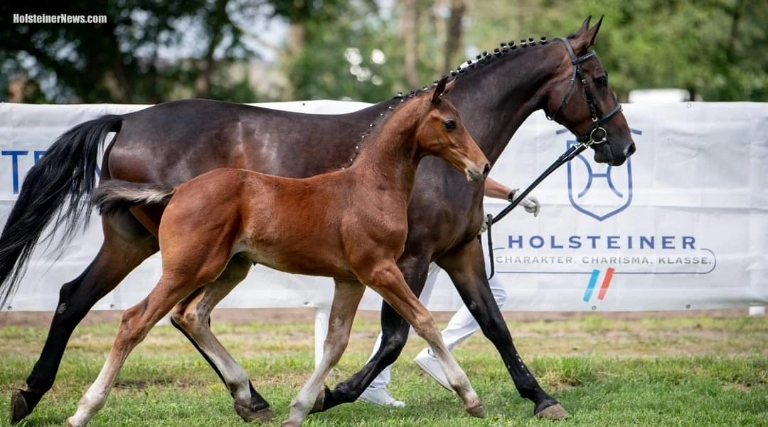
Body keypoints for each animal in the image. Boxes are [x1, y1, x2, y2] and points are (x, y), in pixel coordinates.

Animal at [73, 77, 492, 427]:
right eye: (450, 123)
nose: (482, 166)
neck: (371, 186)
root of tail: (177, 191)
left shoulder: (350, 279)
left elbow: (335, 344)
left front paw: (301, 408)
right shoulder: (379, 268)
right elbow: (424, 321)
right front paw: (471, 398)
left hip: (232, 268)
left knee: (192, 315)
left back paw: (248, 398)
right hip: (187, 269)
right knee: (135, 320)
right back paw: (84, 410)